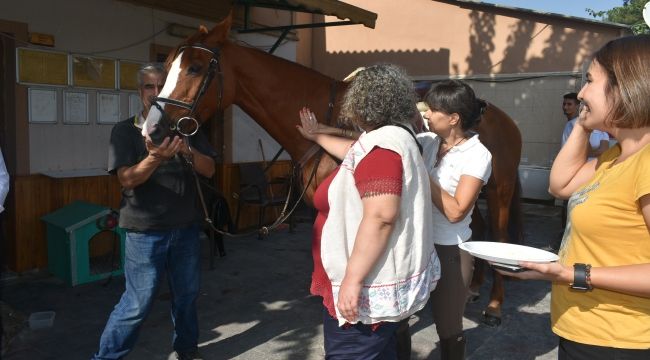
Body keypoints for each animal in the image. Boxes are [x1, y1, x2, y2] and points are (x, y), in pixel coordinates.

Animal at [142, 16, 520, 326]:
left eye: (195, 68)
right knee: (474, 230)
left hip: (498, 190)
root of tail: (497, 115)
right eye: (167, 65)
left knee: (499, 237)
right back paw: (473, 288)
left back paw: (495, 306)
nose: (153, 130)